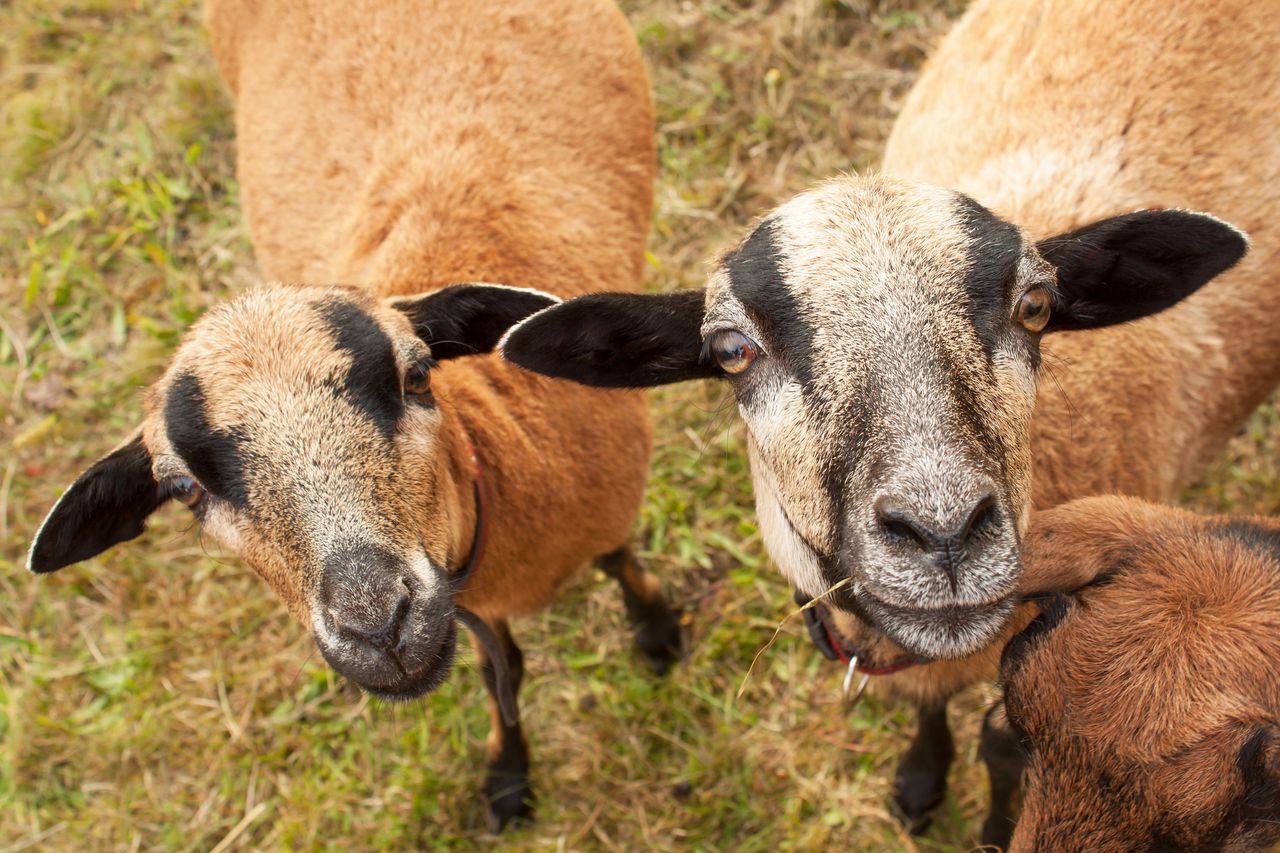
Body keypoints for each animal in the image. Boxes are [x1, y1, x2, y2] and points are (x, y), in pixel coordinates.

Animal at [24, 0, 680, 824]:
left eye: (417, 375)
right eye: (183, 489)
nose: (376, 626)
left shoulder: (605, 505)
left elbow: (618, 557)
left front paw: (657, 631)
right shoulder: (467, 601)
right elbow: (503, 669)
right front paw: (508, 774)